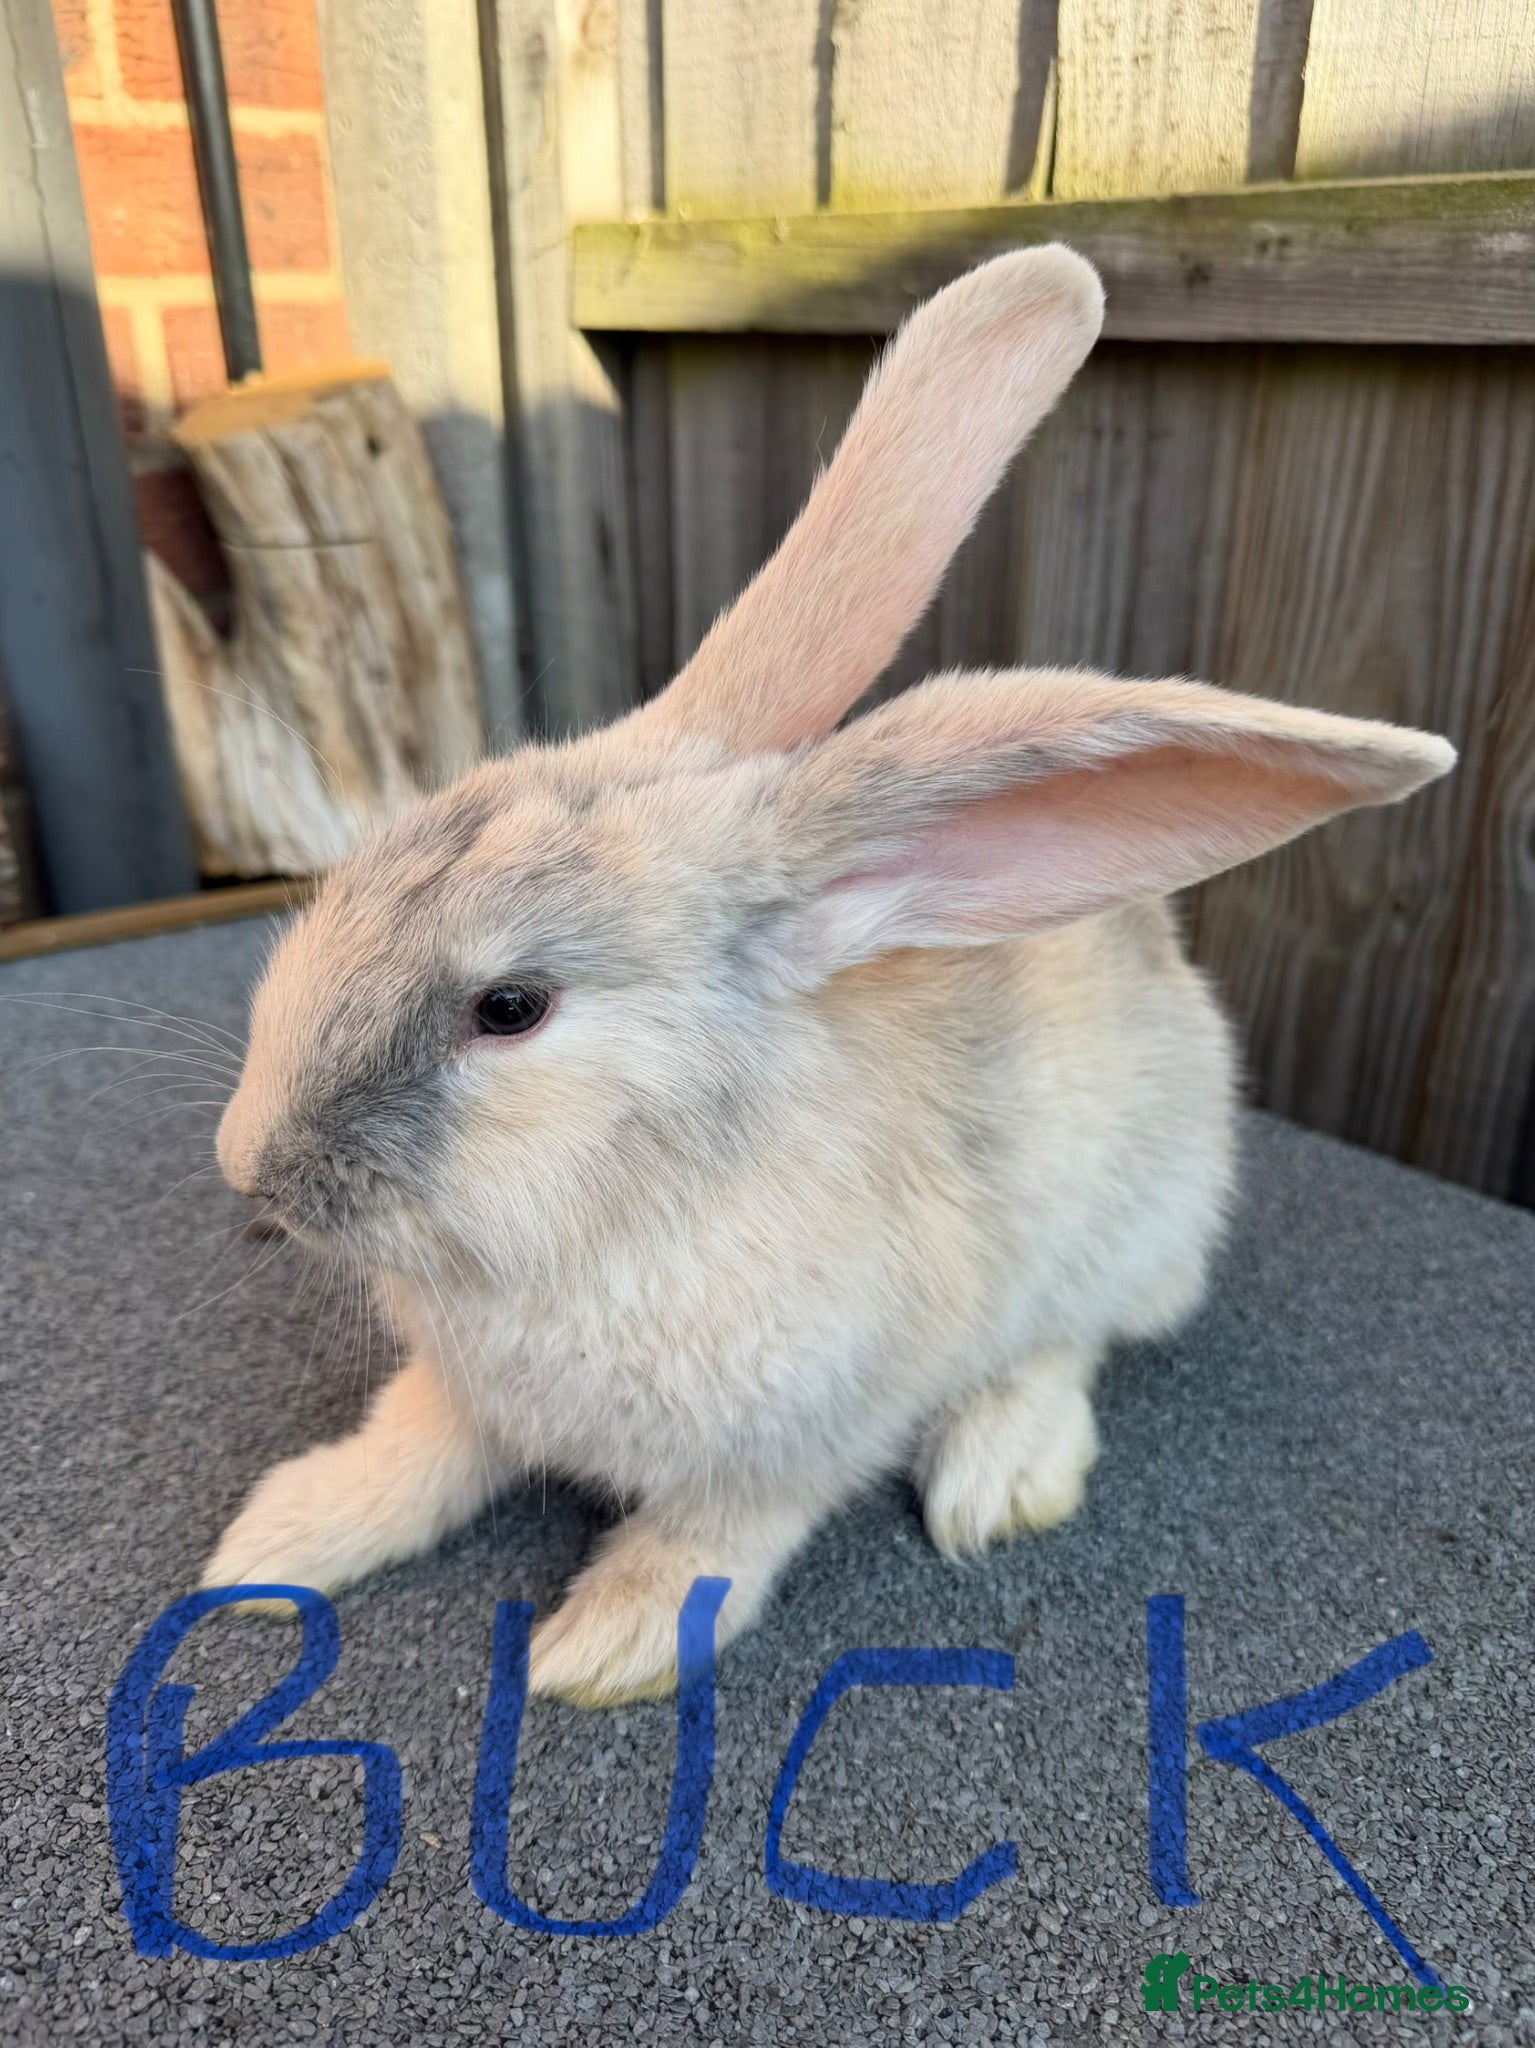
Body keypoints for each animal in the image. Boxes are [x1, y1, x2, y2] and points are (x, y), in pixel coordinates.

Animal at [204, 246, 1454, 1706]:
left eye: (509, 1008)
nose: (250, 1168)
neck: (619, 1204)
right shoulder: (460, 1390)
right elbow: (414, 1448)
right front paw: (275, 1542)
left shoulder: (794, 1437)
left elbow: (715, 1533)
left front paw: (608, 1644)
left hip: (1130, 1226)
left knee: (1070, 1340)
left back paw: (996, 1471)